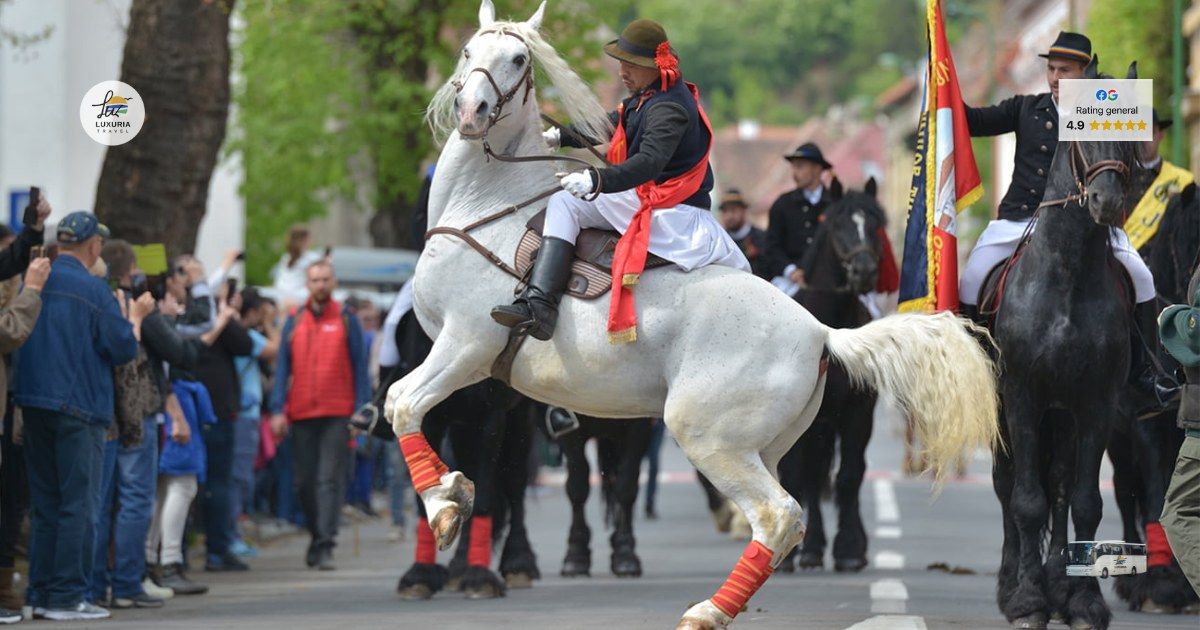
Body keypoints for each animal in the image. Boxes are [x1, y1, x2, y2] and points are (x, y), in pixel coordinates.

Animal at [772, 178, 888, 571]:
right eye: (837, 225)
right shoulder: (810, 420)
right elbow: (803, 476)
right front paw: (804, 552)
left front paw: (849, 550)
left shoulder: (858, 413)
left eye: (875, 224)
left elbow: (850, 476)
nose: (865, 272)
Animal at [988, 57, 1137, 628]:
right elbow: (1025, 502)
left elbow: (1083, 501)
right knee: (1010, 487)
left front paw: (1083, 601)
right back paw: (1014, 585)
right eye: (1081, 126)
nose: (1107, 201)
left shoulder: (1096, 404)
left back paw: (1058, 584)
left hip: (1065, 416)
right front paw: (1029, 600)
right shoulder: (1023, 397)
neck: (1068, 275)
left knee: (1058, 486)